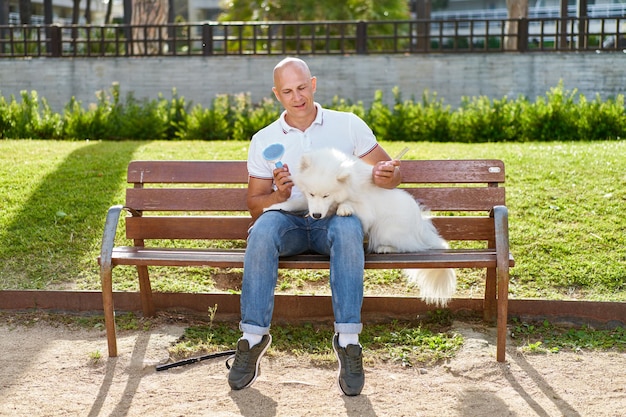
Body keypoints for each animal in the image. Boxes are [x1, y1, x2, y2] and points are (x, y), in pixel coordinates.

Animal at [266, 148, 454, 304]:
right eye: (312, 193)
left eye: (326, 195)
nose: (317, 216)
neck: (349, 185)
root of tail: (422, 228)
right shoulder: (309, 202)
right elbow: (296, 202)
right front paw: (274, 206)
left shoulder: (365, 207)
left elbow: (349, 204)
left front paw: (344, 209)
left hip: (387, 230)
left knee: (407, 246)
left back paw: (385, 248)